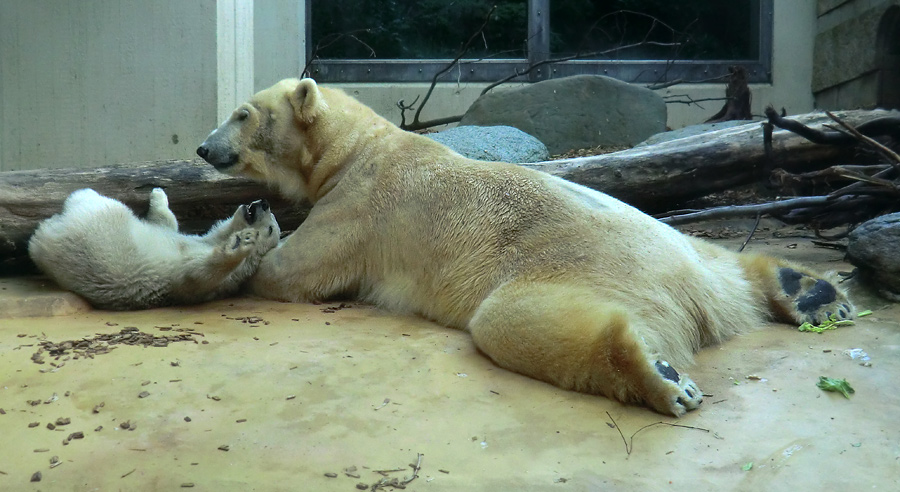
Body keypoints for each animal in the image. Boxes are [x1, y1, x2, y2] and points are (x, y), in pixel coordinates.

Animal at [29, 186, 280, 310]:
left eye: (270, 229)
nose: (265, 202)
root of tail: (43, 240)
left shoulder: (200, 282)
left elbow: (196, 276)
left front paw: (240, 243)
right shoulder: (190, 240)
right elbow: (166, 222)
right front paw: (159, 193)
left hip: (103, 219)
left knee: (94, 201)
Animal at [197, 79, 852, 418]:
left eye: (242, 113)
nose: (204, 148)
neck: (357, 146)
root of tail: (691, 288)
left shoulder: (360, 207)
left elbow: (292, 272)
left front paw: (254, 241)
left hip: (577, 267)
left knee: (512, 319)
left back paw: (658, 376)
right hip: (690, 251)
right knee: (728, 261)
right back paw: (809, 291)